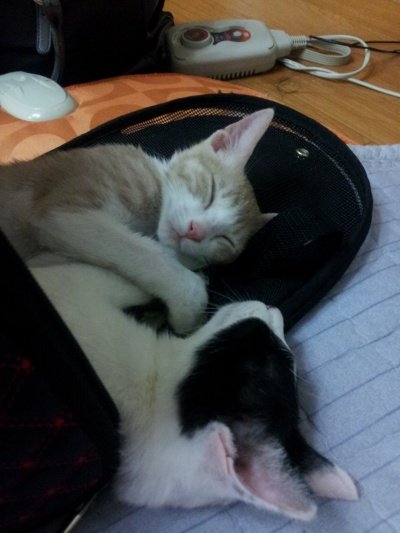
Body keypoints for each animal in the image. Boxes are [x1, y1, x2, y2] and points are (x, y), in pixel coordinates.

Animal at [0, 109, 275, 335]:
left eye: (225, 240)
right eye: (211, 191)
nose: (195, 231)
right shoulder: (61, 214)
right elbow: (145, 254)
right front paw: (190, 309)